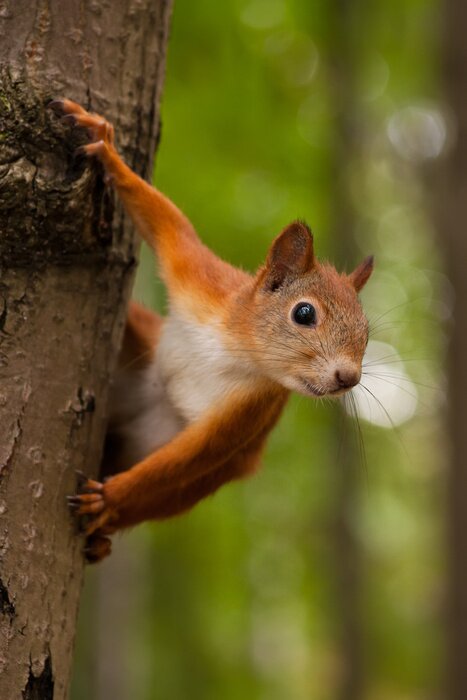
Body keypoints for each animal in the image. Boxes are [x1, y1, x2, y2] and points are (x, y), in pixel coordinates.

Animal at [52, 99, 374, 563]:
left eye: (367, 333)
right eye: (304, 313)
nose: (348, 378)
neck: (233, 346)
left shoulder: (247, 413)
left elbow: (187, 460)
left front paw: (110, 499)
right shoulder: (203, 280)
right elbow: (169, 225)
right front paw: (107, 148)